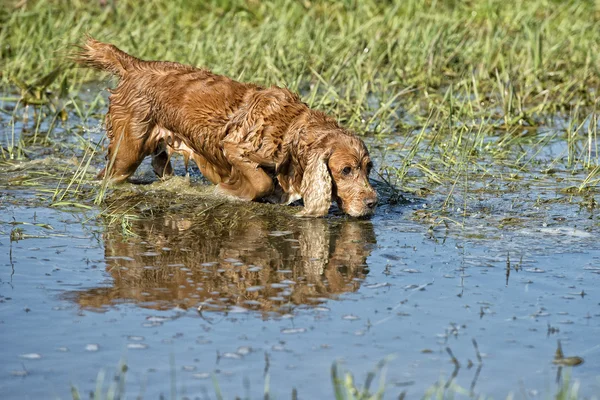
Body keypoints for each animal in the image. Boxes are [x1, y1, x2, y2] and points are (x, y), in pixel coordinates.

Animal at [77, 37, 378, 217]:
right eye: (346, 170)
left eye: (368, 168)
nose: (373, 202)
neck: (290, 129)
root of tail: (135, 65)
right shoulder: (233, 147)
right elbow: (260, 181)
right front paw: (231, 191)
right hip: (127, 150)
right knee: (109, 174)